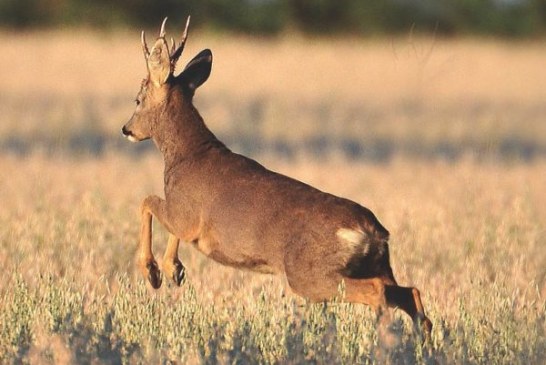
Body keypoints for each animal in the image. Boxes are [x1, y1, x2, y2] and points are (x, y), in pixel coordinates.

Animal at [121, 16, 432, 336]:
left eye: (137, 99)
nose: (126, 129)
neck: (188, 154)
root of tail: (371, 230)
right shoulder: (182, 216)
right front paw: (174, 270)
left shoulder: (185, 214)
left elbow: (147, 202)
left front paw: (154, 271)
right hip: (377, 264)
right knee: (411, 293)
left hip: (309, 273)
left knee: (378, 293)